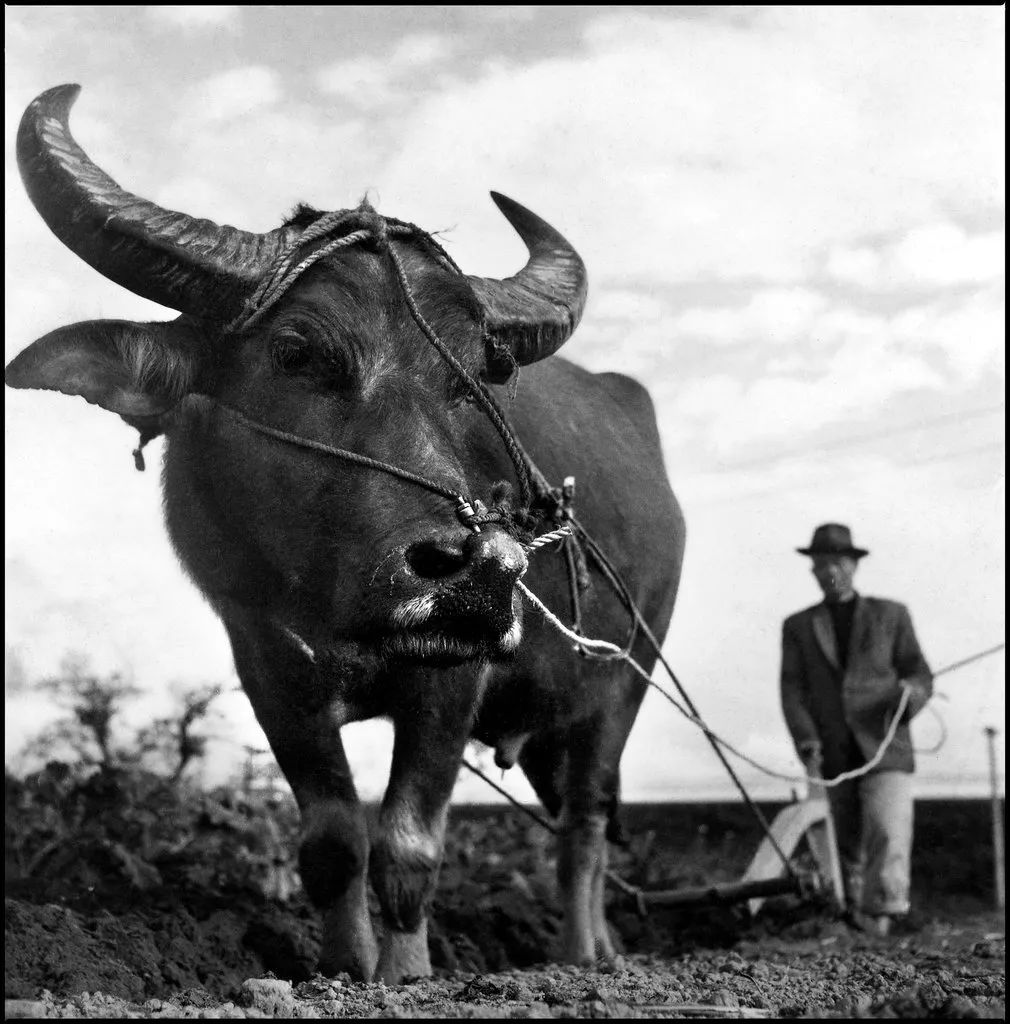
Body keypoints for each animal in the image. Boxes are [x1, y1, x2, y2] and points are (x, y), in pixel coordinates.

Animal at [5, 81, 684, 983]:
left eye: (473, 381)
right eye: (296, 350)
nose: (475, 573)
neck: (333, 597)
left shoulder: (454, 676)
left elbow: (408, 844)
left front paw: (407, 974)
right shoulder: (266, 666)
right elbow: (332, 841)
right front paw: (340, 967)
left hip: (625, 686)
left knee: (584, 827)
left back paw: (577, 955)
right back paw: (605, 948)